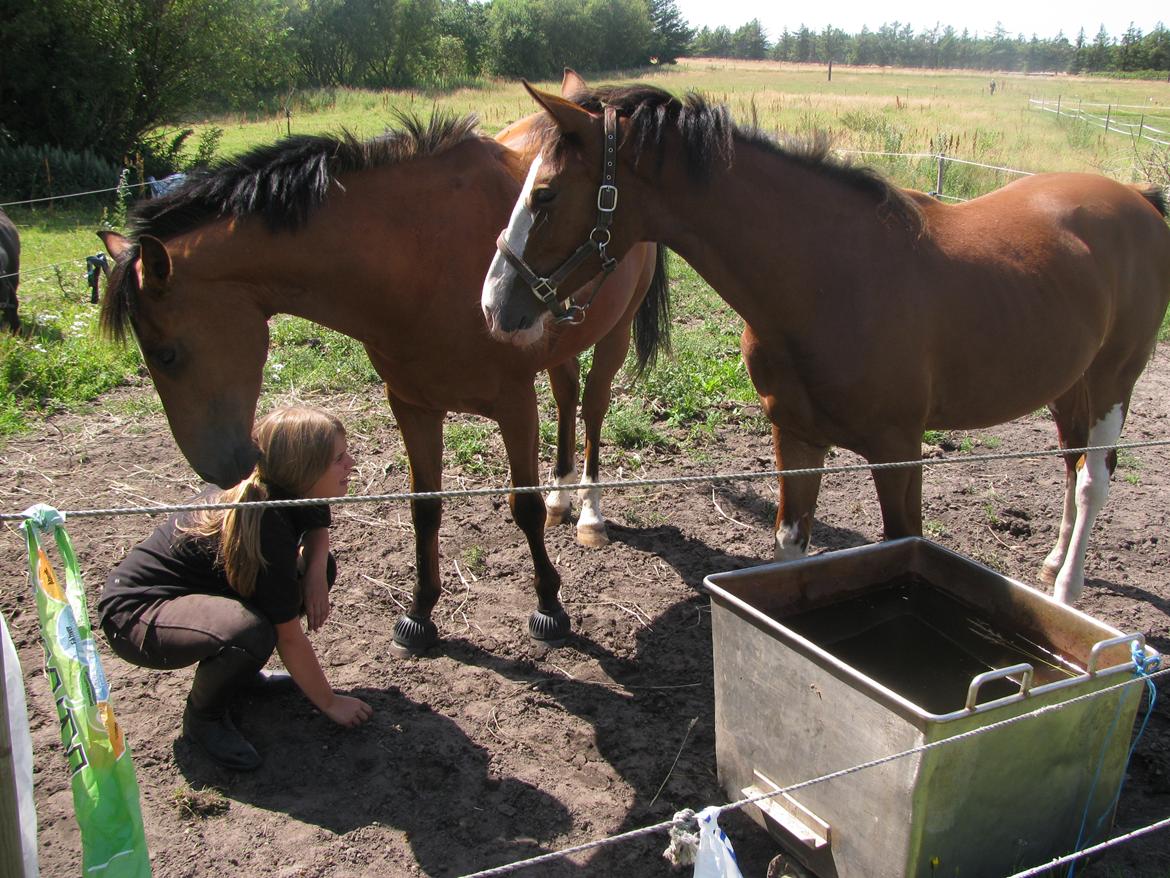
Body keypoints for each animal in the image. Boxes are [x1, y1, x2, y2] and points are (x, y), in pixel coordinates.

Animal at [95, 74, 673, 655]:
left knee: (593, 408)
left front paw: (550, 607)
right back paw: (560, 498)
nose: (220, 468)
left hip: (614, 333)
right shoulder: (413, 405)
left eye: (167, 353)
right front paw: (420, 613)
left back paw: (589, 514)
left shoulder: (514, 404)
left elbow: (521, 507)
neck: (421, 258)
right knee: (566, 395)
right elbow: (424, 509)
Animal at [477, 82, 1170, 604]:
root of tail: (1138, 199)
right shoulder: (797, 437)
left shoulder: (898, 452)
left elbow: (902, 548)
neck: (829, 277)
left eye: (545, 193)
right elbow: (791, 548)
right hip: (1069, 386)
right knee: (1073, 465)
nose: (493, 303)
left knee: (1094, 479)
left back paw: (1068, 590)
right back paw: (1052, 561)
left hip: (1115, 380)